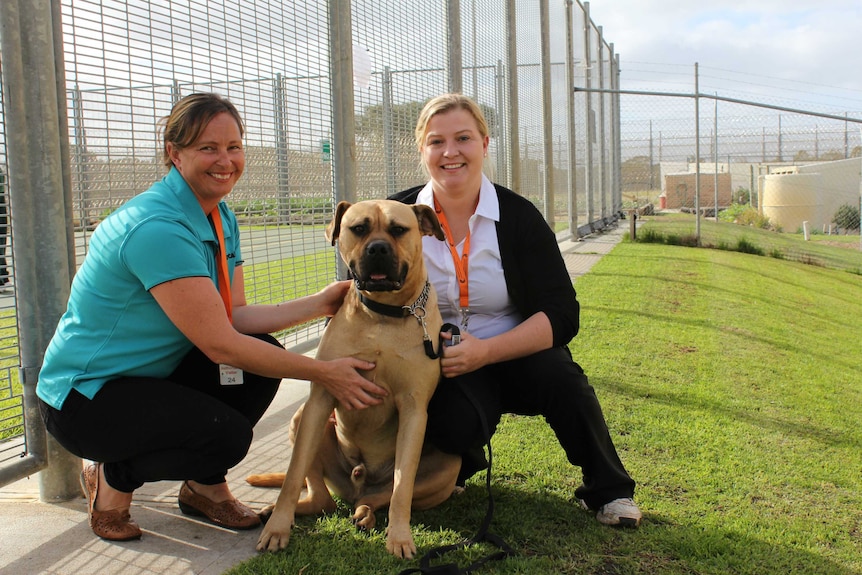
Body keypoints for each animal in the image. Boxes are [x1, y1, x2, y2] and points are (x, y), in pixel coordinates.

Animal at [253, 201, 462, 560]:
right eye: (358, 228)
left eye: (398, 229)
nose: (377, 248)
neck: (383, 315)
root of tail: (356, 484)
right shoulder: (321, 399)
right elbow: (293, 476)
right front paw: (277, 528)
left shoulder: (414, 409)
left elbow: (402, 486)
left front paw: (400, 537)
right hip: (303, 420)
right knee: (322, 499)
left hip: (450, 462)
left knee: (376, 496)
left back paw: (366, 515)